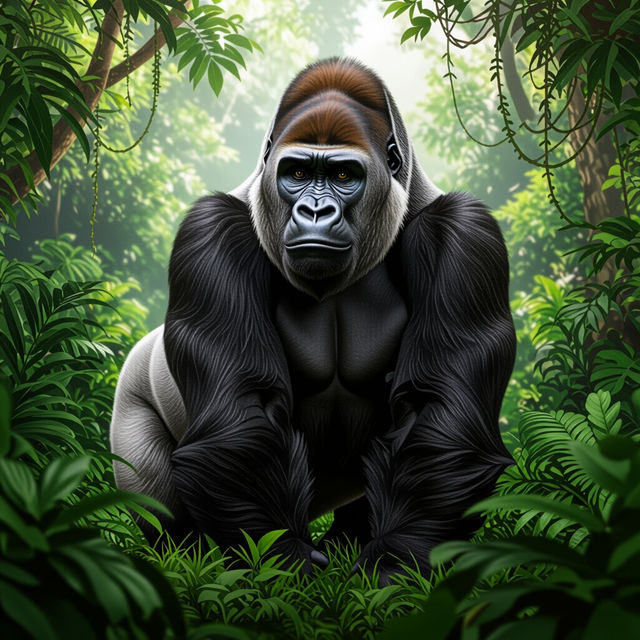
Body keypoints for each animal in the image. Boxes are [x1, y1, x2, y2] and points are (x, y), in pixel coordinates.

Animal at [111, 58, 516, 582]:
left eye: (343, 174)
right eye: (298, 172)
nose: (315, 210)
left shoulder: (465, 232)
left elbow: (437, 415)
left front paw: (394, 564)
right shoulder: (211, 228)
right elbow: (239, 417)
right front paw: (284, 566)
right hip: (130, 401)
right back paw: (188, 555)